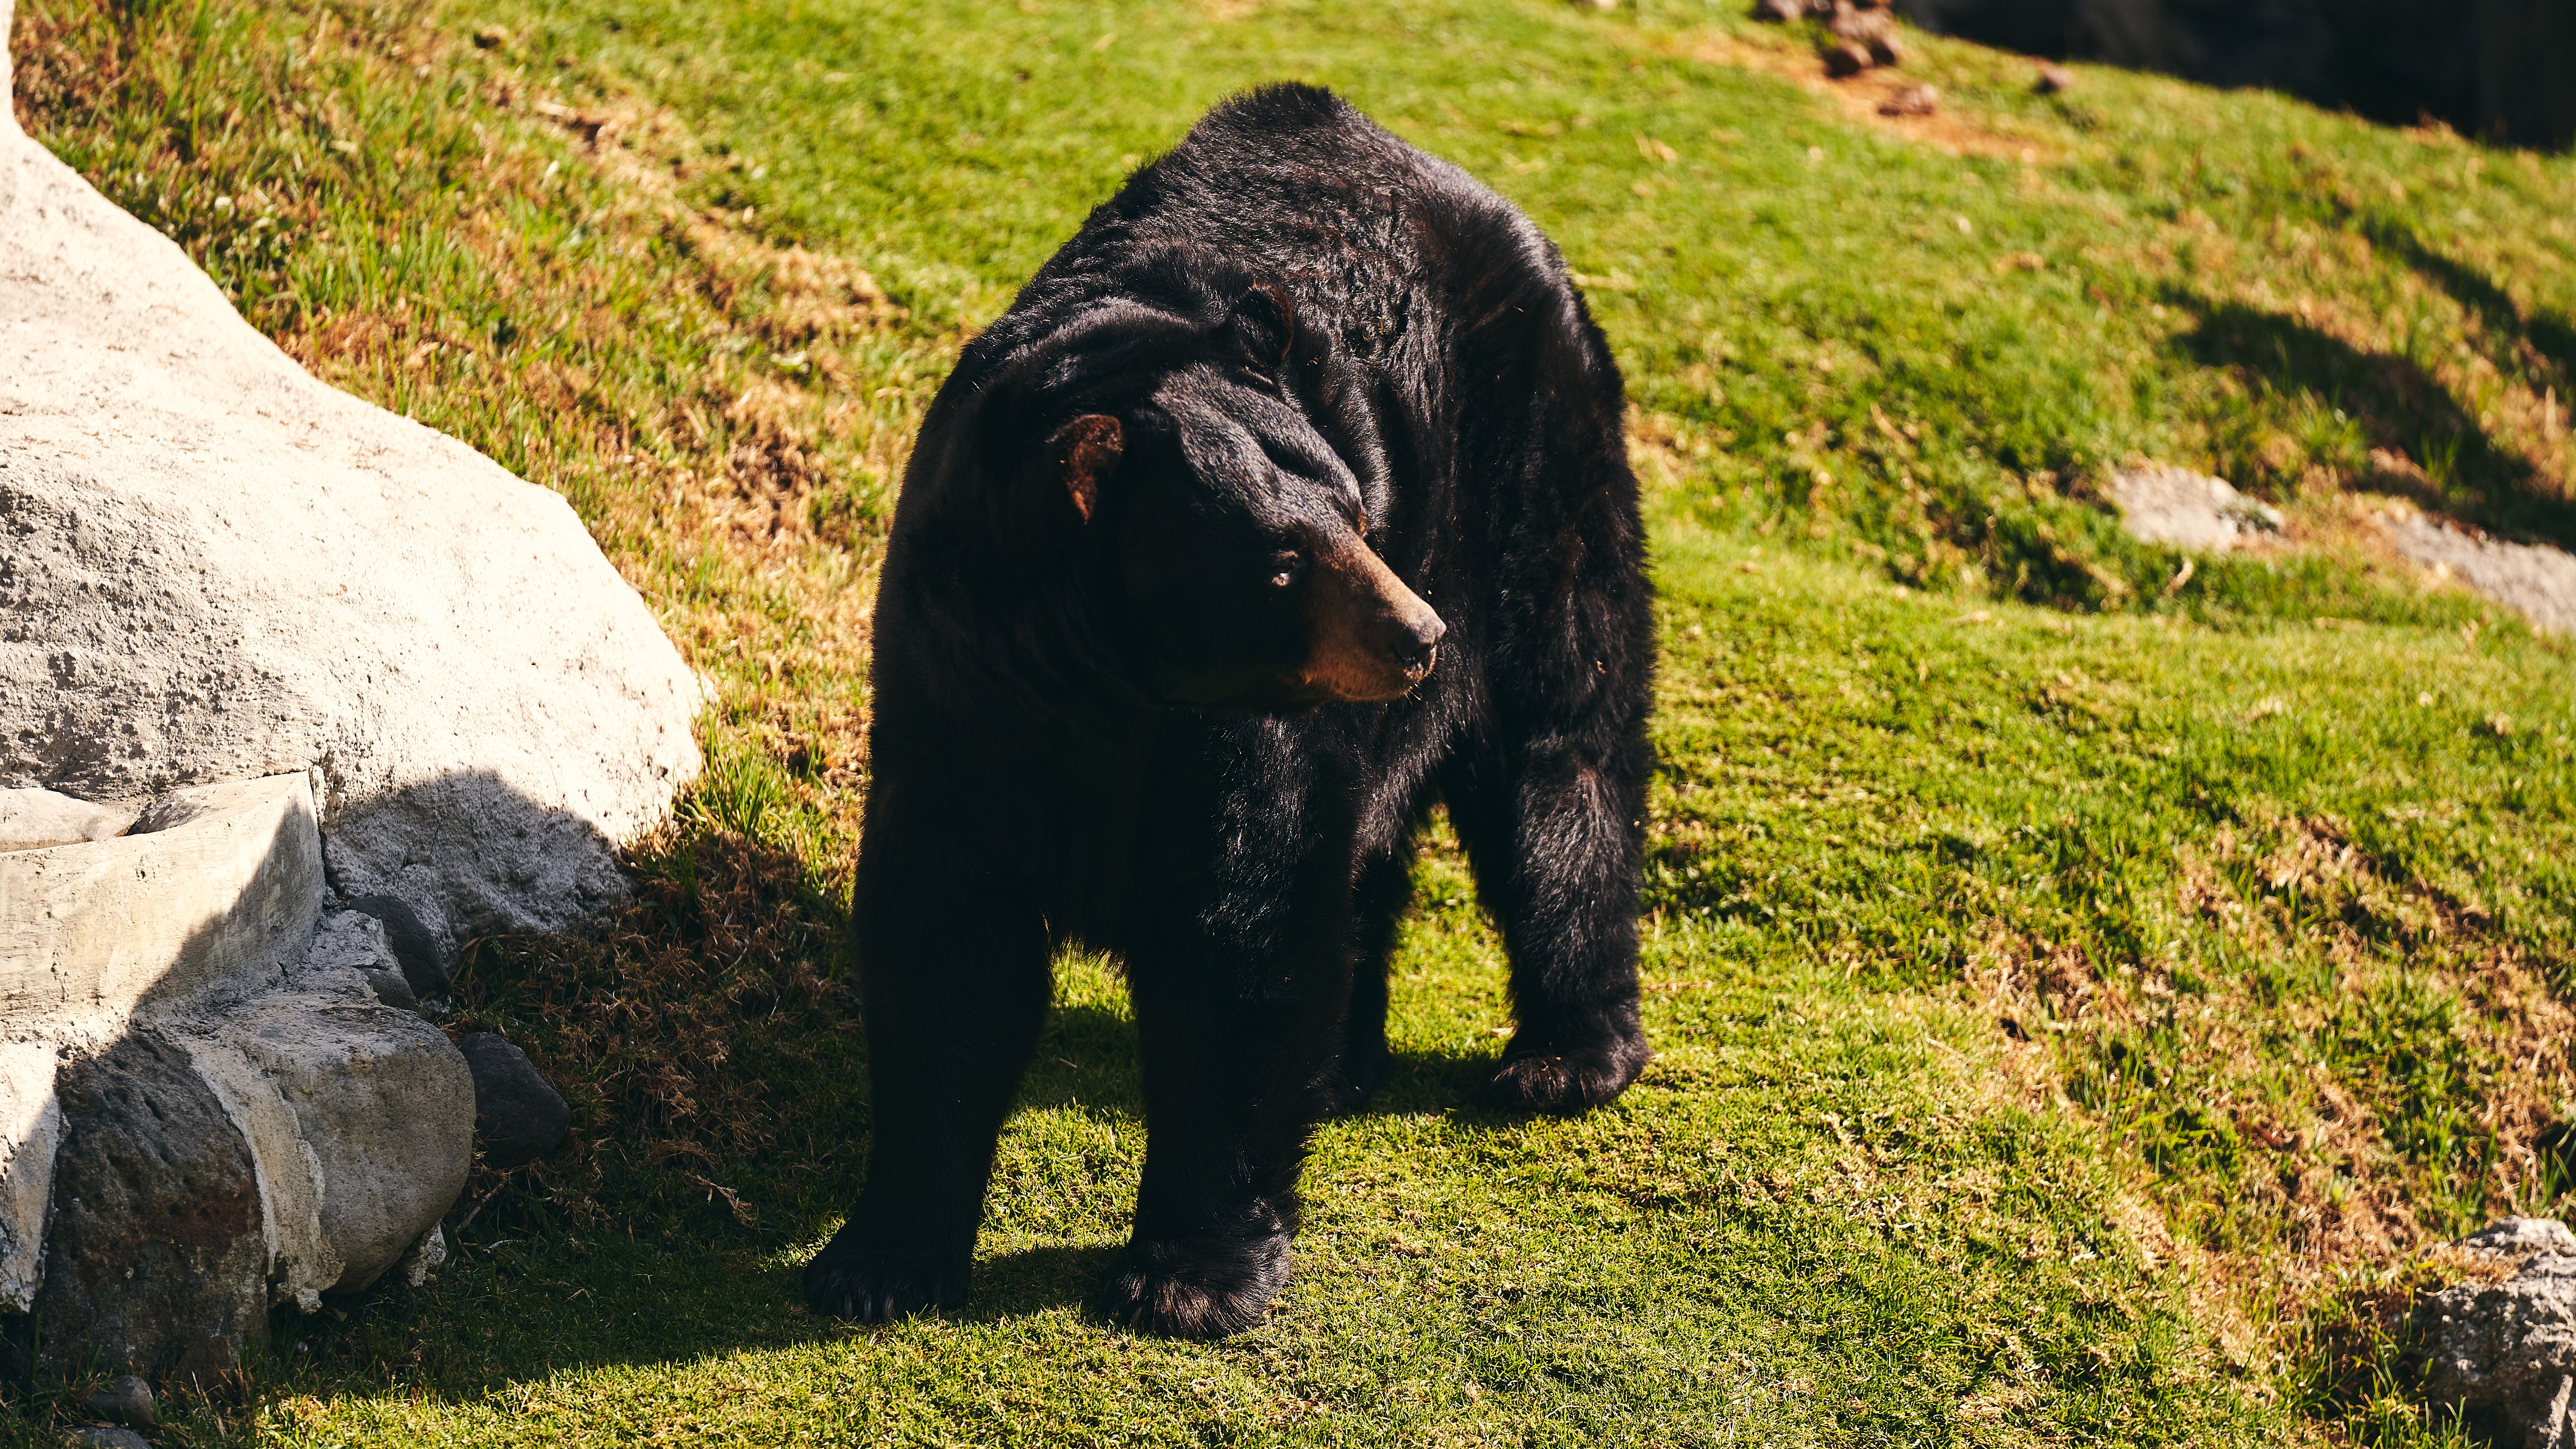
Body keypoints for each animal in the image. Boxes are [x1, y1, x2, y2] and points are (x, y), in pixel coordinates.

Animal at [803, 82, 1656, 1339]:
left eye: (1356, 509)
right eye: (1282, 564)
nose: (1418, 637)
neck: (1107, 685)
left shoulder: (1238, 728)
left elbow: (1246, 924)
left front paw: (1189, 1274)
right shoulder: (959, 688)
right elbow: (949, 939)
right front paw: (878, 1257)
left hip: (1534, 460)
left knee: (1563, 737)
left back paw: (1566, 1054)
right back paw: (1352, 1056)